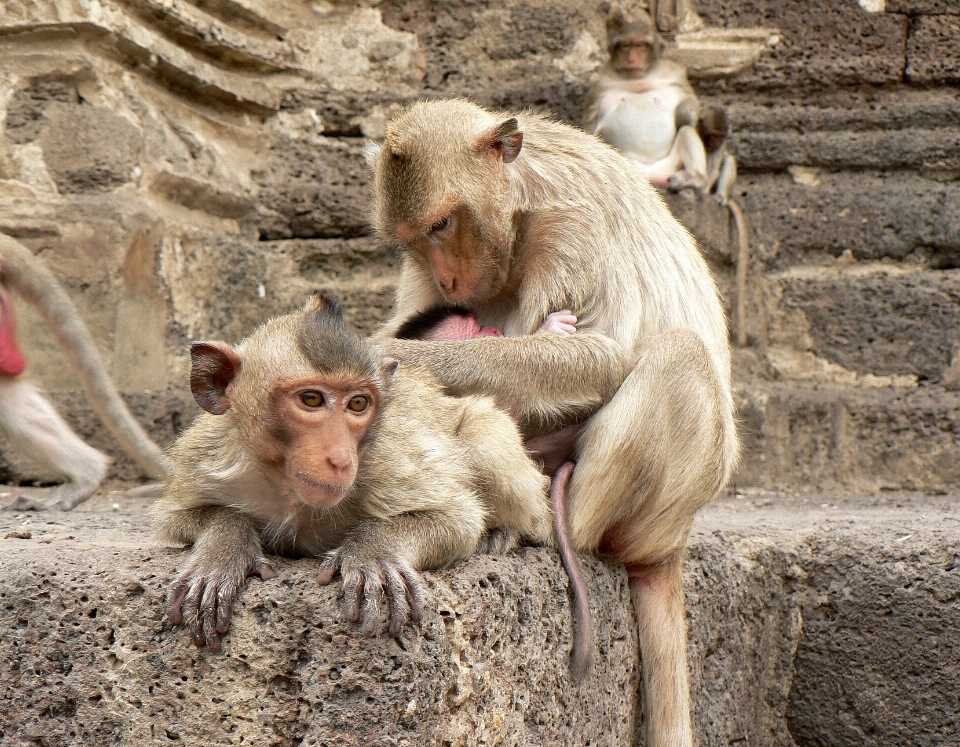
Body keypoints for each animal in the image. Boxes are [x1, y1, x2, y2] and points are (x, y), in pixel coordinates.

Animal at [152, 294, 556, 656]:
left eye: (358, 403)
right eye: (312, 399)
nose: (341, 459)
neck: (286, 488)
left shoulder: (387, 463)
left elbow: (458, 520)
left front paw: (373, 551)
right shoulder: (206, 457)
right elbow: (174, 520)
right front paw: (223, 550)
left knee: (483, 434)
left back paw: (504, 532)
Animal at [366, 101, 736, 747]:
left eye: (442, 225)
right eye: (412, 238)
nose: (449, 281)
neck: (520, 209)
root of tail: (673, 540)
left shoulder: (571, 224)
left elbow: (601, 355)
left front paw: (393, 357)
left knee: (680, 354)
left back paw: (548, 523)